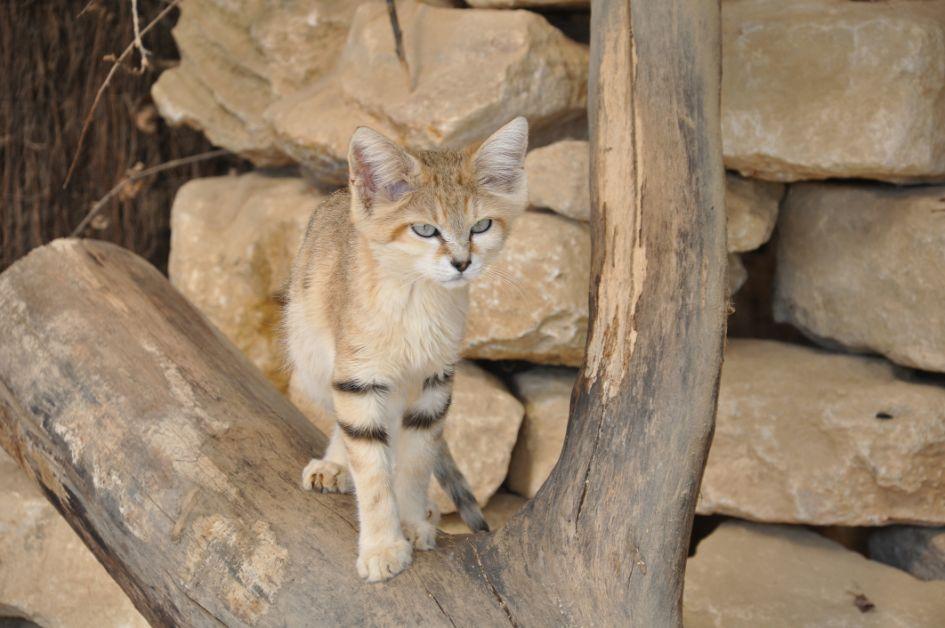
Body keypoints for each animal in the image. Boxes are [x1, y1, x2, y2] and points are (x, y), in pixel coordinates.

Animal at [284, 116, 528, 580]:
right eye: (425, 230)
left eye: (481, 226)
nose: (462, 262)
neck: (418, 299)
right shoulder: (358, 378)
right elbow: (372, 473)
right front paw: (382, 546)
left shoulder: (434, 384)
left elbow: (416, 461)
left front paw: (412, 522)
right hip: (311, 357)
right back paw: (336, 464)